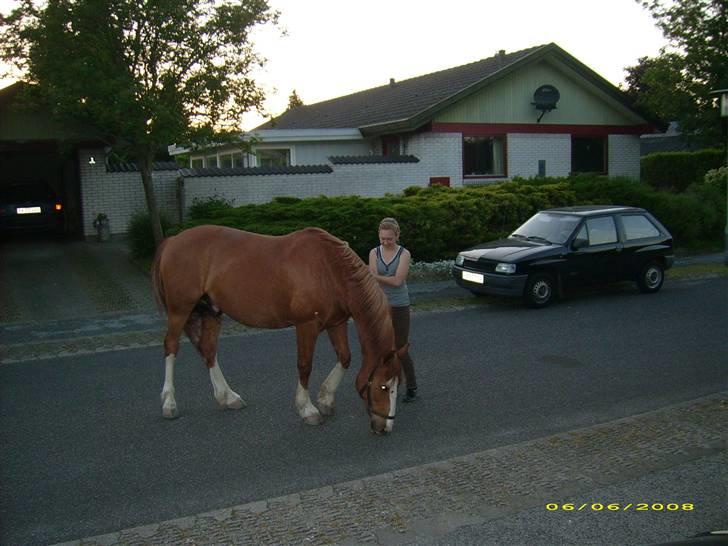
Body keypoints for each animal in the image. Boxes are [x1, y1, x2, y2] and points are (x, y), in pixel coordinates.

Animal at [151, 223, 406, 432]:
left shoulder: (337, 323)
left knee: (208, 350)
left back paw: (227, 397)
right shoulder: (306, 325)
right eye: (384, 386)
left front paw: (326, 399)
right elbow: (305, 365)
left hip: (211, 311)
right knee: (171, 346)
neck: (328, 269)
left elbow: (344, 358)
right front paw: (307, 409)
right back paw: (169, 403)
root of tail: (172, 240)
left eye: (397, 385)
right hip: (180, 310)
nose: (385, 427)